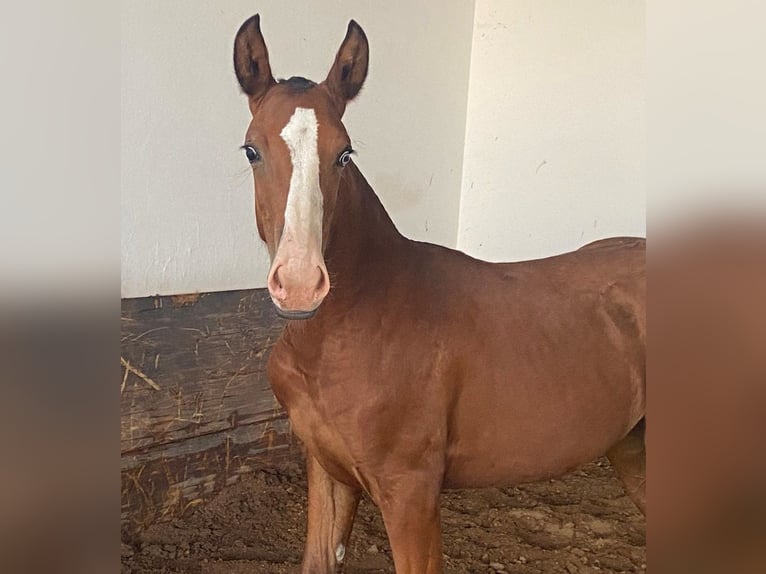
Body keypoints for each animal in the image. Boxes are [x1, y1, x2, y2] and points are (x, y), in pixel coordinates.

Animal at [231, 14, 644, 574]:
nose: (299, 284)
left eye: (344, 153)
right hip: (635, 452)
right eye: (252, 149)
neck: (346, 331)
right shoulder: (328, 473)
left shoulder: (411, 495)